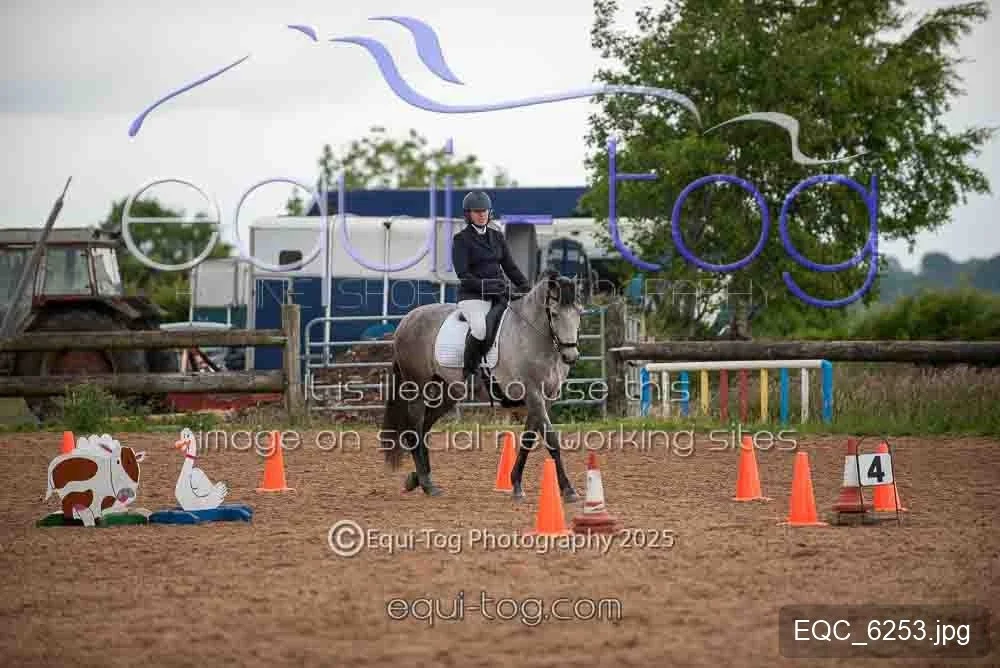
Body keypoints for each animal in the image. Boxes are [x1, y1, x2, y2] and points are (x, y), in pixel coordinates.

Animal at [379, 270, 583, 501]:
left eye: (579, 313)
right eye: (555, 314)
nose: (570, 356)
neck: (531, 334)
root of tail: (407, 319)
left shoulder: (546, 398)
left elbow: (528, 440)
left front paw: (516, 483)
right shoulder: (532, 394)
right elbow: (552, 440)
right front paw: (568, 489)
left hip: (447, 392)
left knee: (424, 427)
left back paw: (419, 479)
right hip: (417, 388)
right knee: (415, 428)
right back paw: (427, 484)